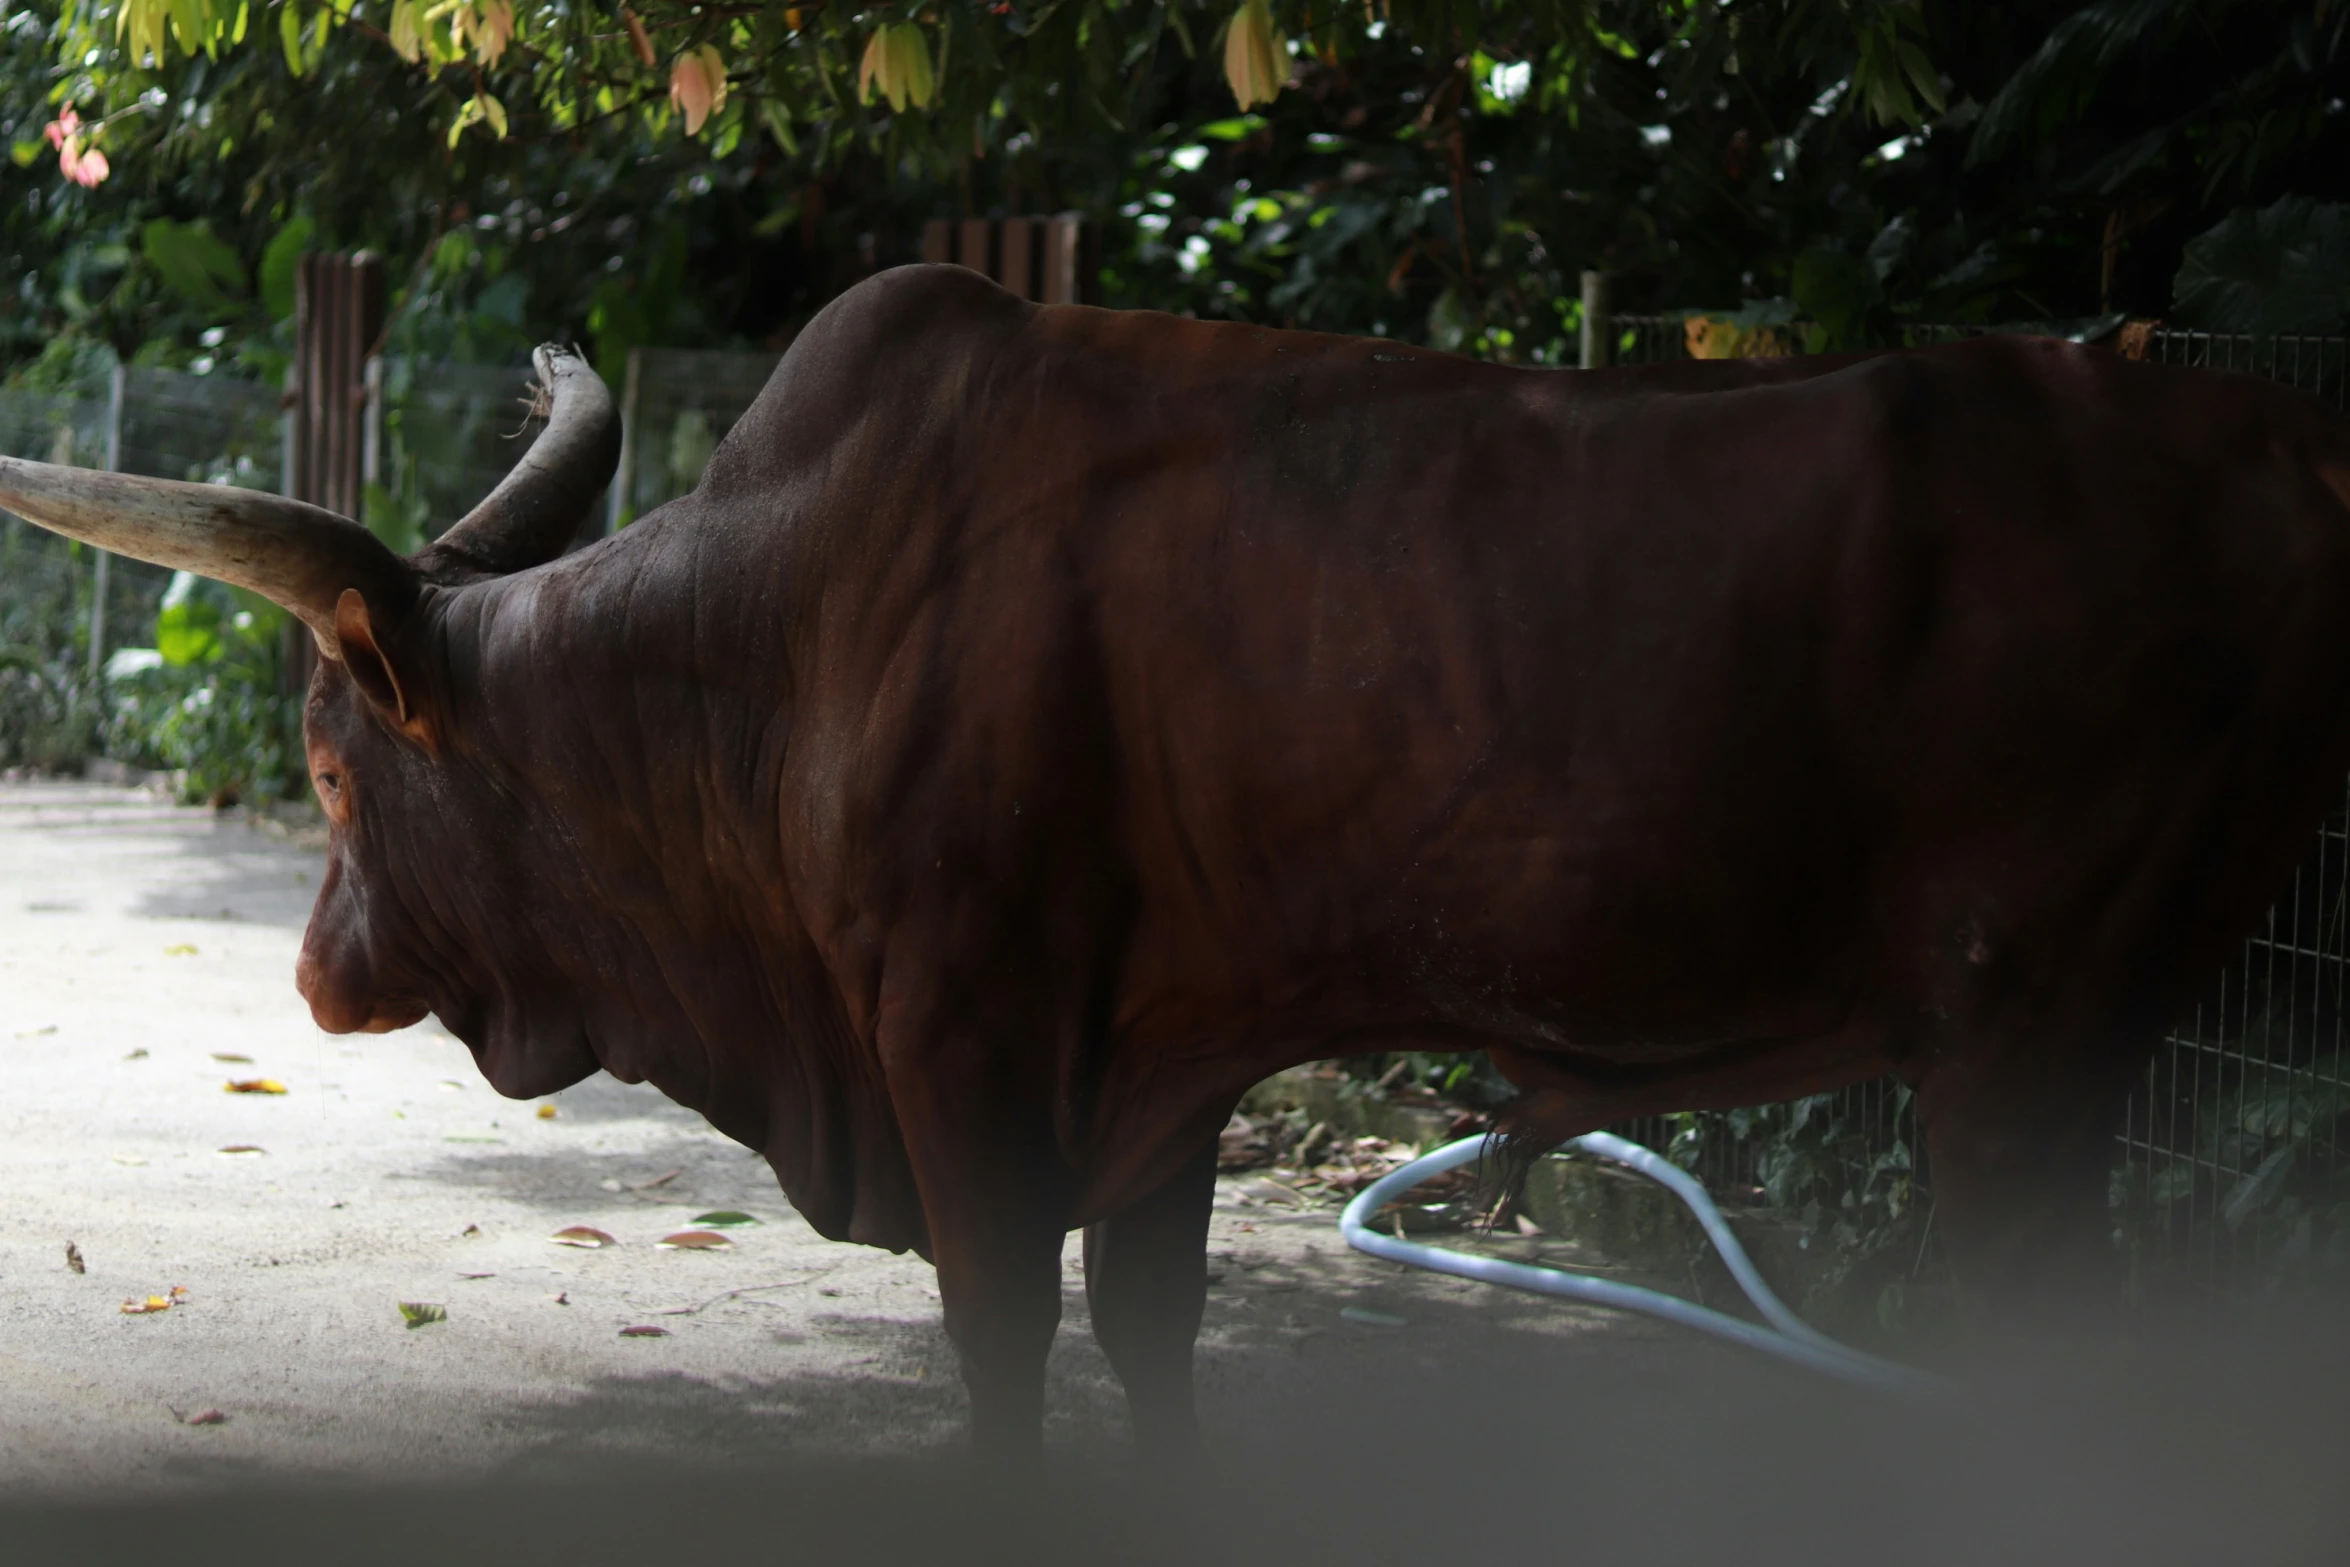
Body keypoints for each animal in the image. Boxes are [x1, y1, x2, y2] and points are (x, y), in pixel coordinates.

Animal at [4, 263, 2350, 1456]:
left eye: (328, 766)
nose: (316, 974)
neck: (774, 639)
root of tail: (2252, 425)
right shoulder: (1168, 1052)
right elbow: (1146, 1334)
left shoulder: (962, 1036)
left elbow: (1002, 1348)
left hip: (2026, 1046)